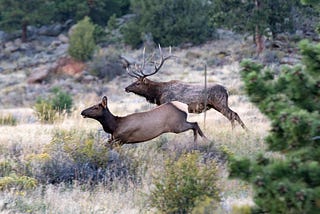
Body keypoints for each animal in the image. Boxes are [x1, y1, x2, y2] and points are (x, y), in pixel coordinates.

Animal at [80, 95, 208, 145]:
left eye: (96, 107)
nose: (82, 112)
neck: (114, 125)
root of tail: (184, 106)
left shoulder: (121, 139)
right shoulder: (114, 139)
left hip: (177, 125)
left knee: (194, 124)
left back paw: (202, 141)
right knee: (195, 124)